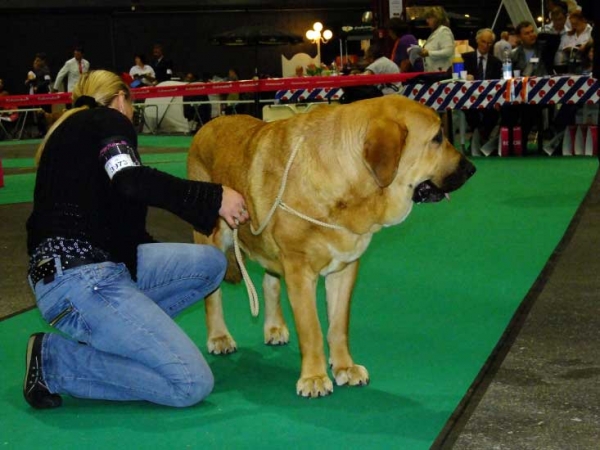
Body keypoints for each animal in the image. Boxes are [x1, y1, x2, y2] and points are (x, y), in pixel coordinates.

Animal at [186, 95, 474, 398]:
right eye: (437, 137)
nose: (471, 168)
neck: (347, 176)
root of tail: (207, 126)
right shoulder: (300, 272)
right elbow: (311, 329)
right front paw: (314, 377)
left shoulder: (344, 270)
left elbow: (338, 325)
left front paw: (345, 368)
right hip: (213, 237)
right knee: (213, 295)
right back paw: (219, 337)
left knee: (269, 281)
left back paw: (274, 327)